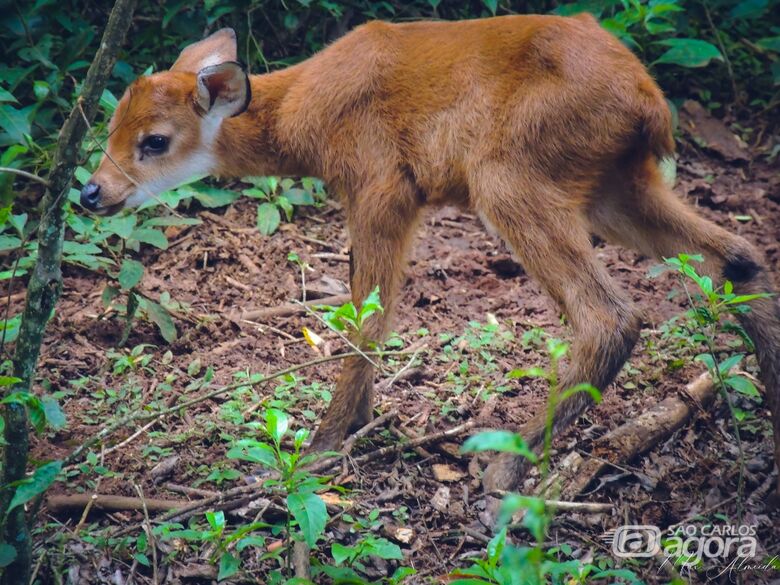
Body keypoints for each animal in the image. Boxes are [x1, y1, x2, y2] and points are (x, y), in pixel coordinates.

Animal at [82, 16, 776, 504]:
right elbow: (371, 312)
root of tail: (650, 103)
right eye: (111, 126)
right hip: (615, 185)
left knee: (612, 316)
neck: (304, 116)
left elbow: (366, 319)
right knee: (740, 257)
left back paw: (505, 468)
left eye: (155, 141)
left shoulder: (382, 184)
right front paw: (356, 425)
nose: (91, 192)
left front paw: (325, 446)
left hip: (511, 178)